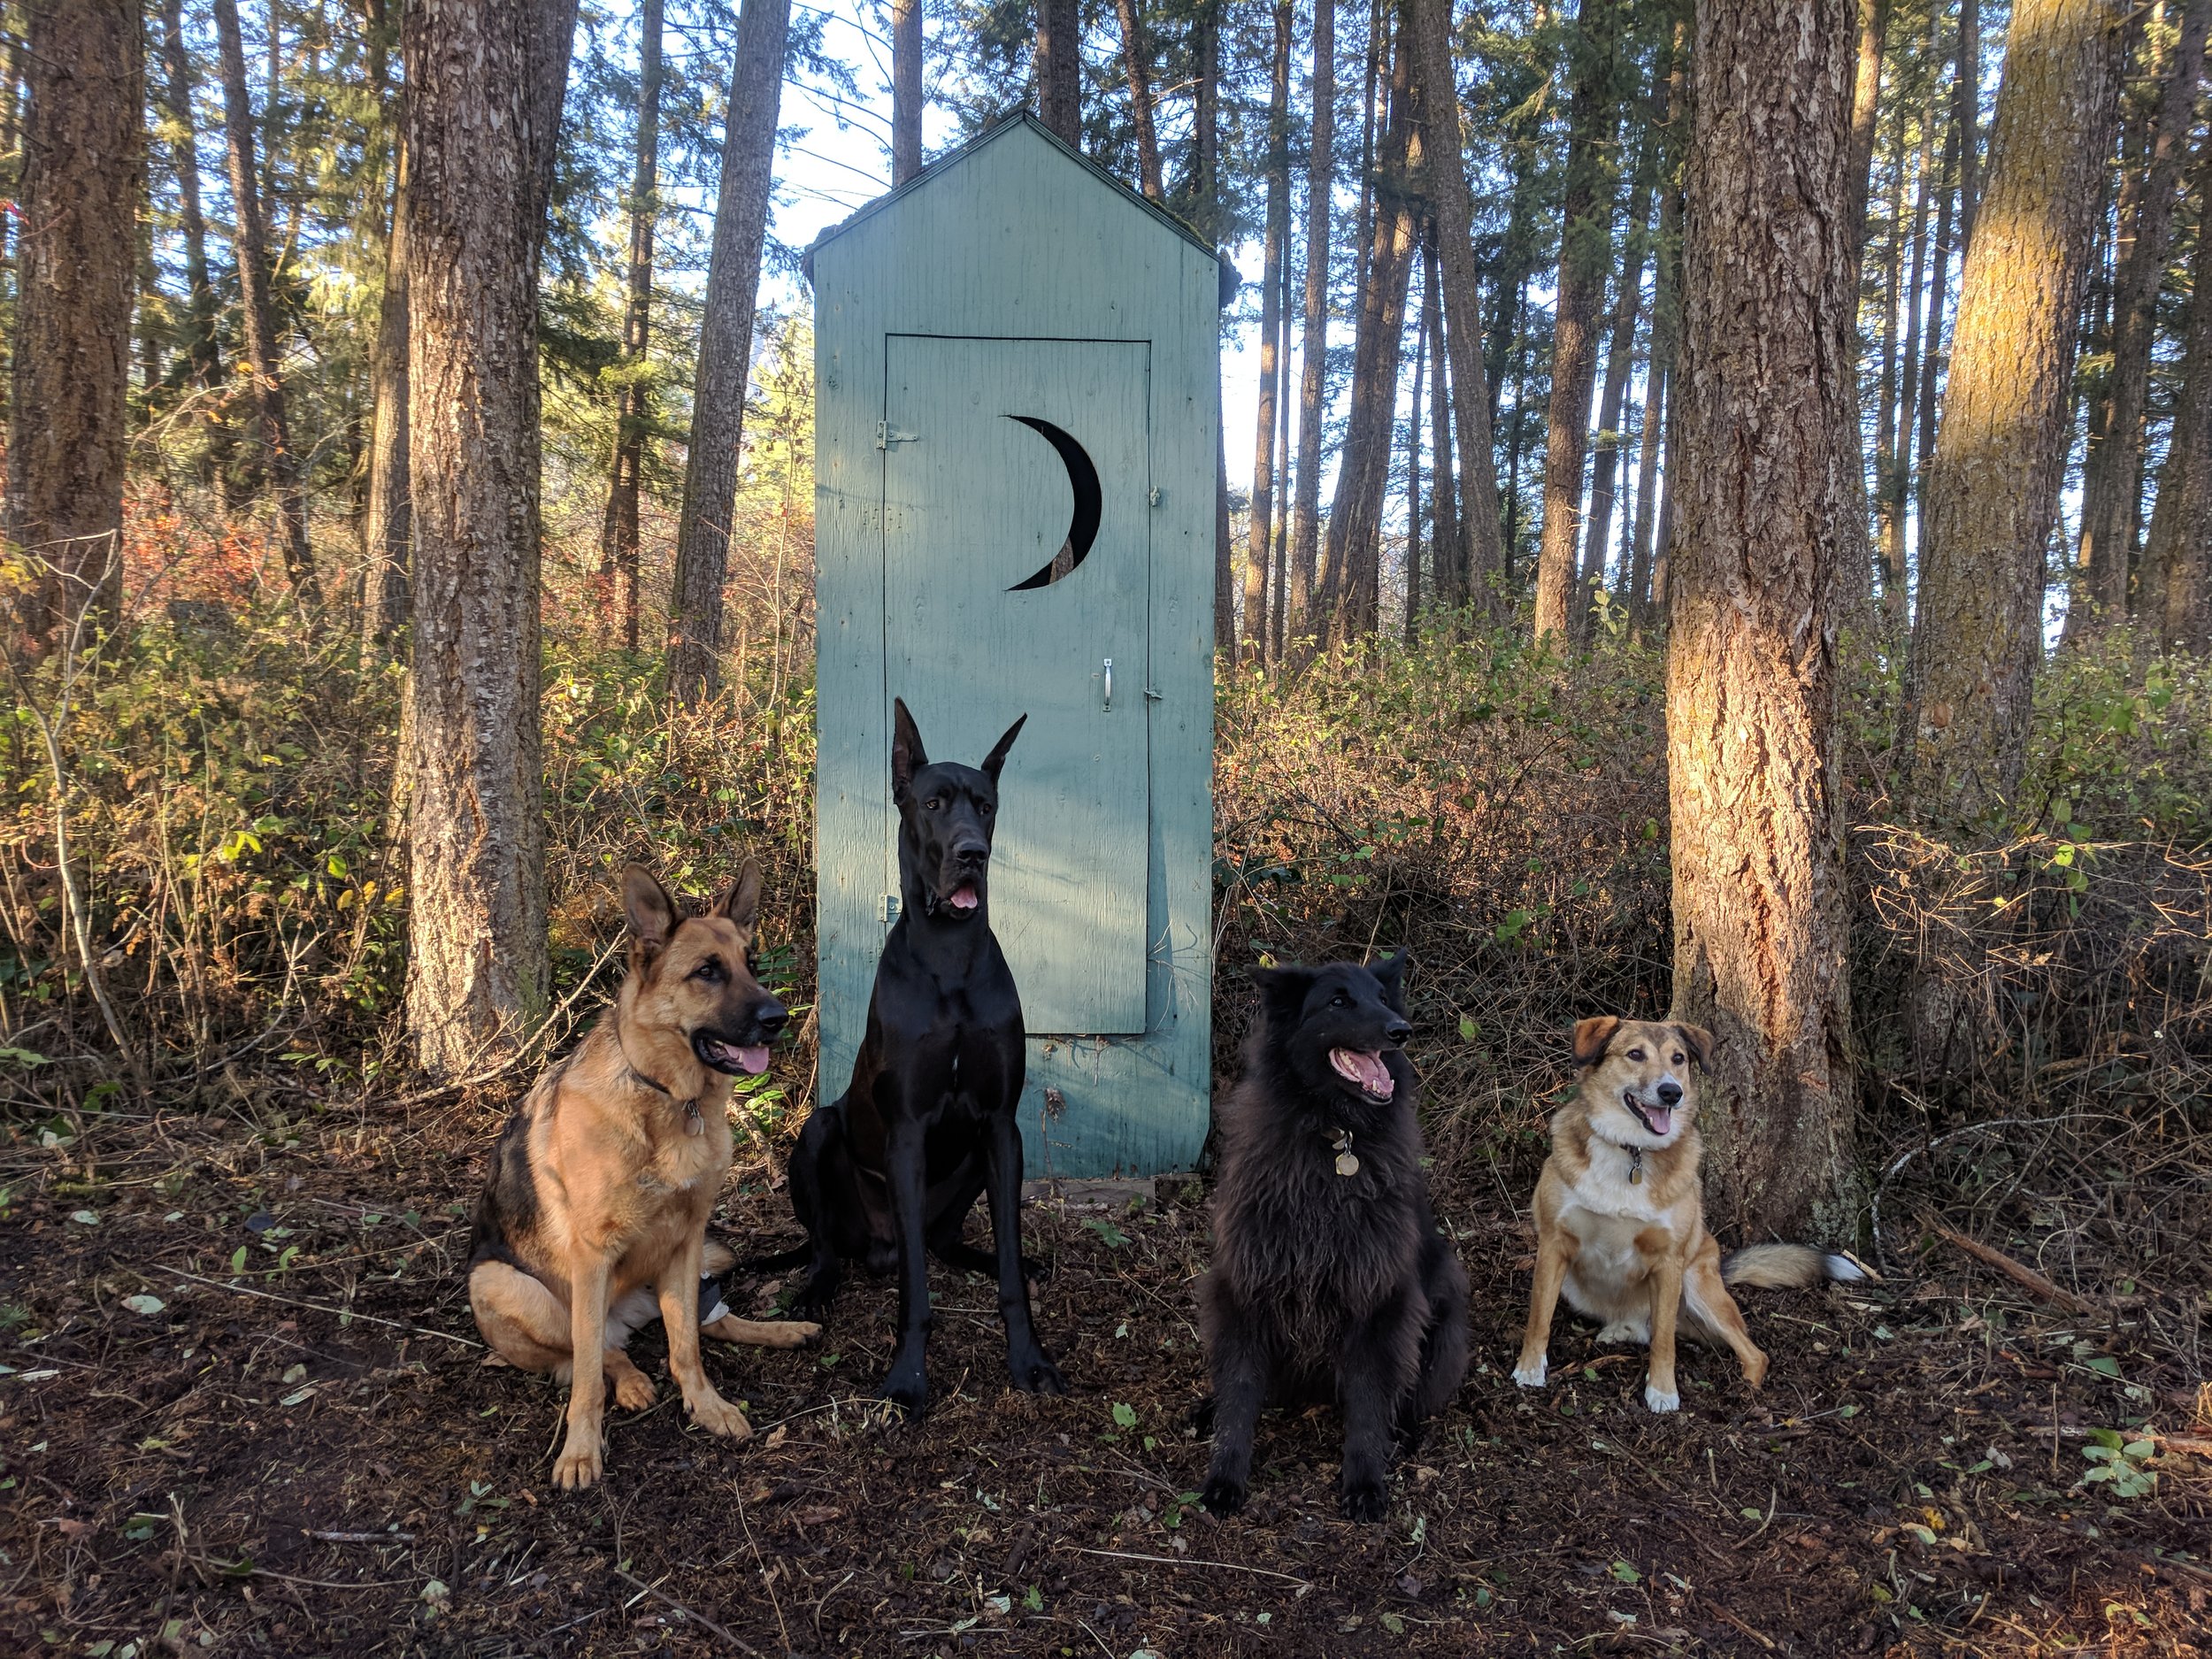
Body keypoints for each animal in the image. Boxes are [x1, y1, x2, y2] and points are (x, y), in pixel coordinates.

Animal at [466, 872, 823, 1495]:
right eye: (707, 971)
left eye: (751, 963)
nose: (779, 1019)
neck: (669, 1098)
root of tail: (629, 1311)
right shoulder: (592, 1255)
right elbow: (586, 1375)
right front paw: (581, 1450)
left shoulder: (687, 1236)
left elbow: (687, 1346)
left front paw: (706, 1405)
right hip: (501, 1283)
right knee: (590, 1350)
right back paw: (628, 1380)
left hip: (697, 1261)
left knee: (703, 1324)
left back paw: (779, 1331)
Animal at [770, 703, 1062, 1416]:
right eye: (931, 804)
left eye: (985, 806)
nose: (972, 854)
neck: (950, 957)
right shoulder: (905, 1133)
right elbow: (916, 1292)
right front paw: (906, 1378)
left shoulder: (1001, 1126)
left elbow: (1008, 1266)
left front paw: (1029, 1359)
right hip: (819, 1134)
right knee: (833, 1247)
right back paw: (816, 1290)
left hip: (975, 1166)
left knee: (945, 1243)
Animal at [1194, 956, 1469, 1531]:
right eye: (1338, 1001)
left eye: (1383, 999)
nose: (1401, 1031)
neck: (1334, 1138)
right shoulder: (1244, 1293)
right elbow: (1239, 1397)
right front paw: (1225, 1477)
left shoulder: (1379, 1303)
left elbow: (1367, 1405)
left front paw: (1365, 1483)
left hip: (1445, 1312)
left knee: (1409, 1397)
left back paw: (1402, 1431)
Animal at [1513, 1022, 1858, 1425]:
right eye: (1635, 1054)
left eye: (1678, 1059)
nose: (1671, 1092)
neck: (1632, 1151)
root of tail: (1721, 1270)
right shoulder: (1554, 1244)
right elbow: (1539, 1317)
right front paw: (1529, 1369)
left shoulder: (1669, 1261)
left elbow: (1664, 1341)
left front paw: (1663, 1392)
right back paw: (1618, 1331)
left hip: (1697, 1283)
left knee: (1753, 1353)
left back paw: (1746, 1393)